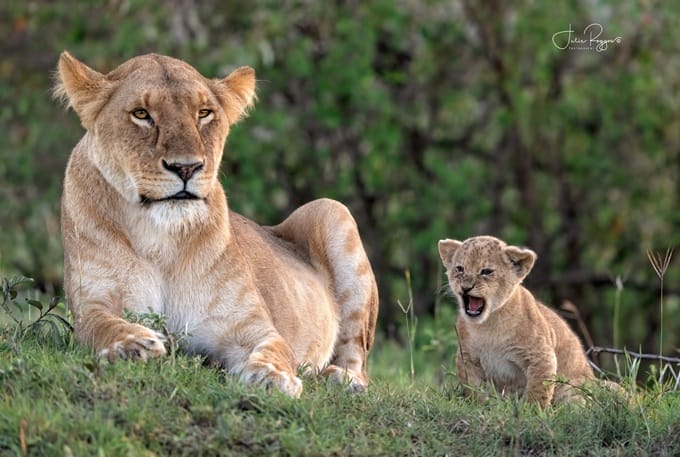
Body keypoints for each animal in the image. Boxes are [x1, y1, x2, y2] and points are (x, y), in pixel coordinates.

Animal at [54, 51, 379, 397]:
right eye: (141, 114)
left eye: (204, 113)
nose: (186, 167)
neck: (160, 240)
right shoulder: (92, 302)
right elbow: (100, 326)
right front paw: (133, 345)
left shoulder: (248, 325)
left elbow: (276, 349)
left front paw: (271, 377)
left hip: (332, 209)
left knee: (357, 358)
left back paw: (342, 379)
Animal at [438, 235, 594, 407]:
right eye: (460, 269)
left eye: (486, 272)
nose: (465, 287)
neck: (488, 325)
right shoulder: (467, 357)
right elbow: (473, 388)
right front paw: (477, 406)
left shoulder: (541, 357)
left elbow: (537, 391)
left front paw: (531, 410)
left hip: (572, 390)